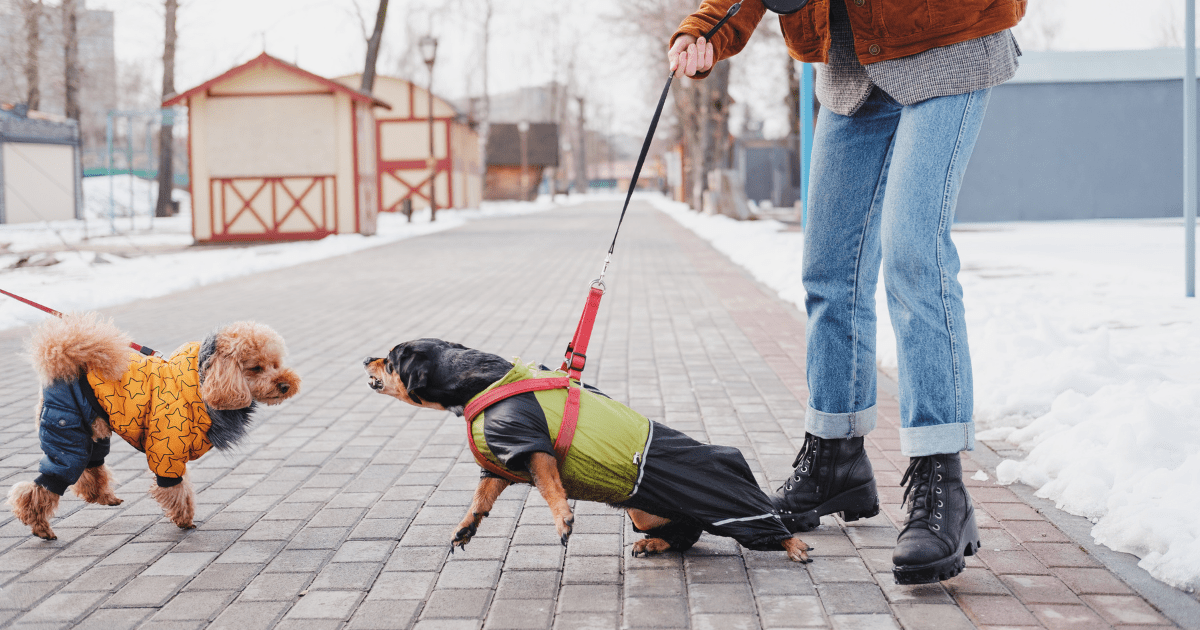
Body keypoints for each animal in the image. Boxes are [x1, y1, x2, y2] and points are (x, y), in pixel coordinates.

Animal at [362, 338, 816, 559]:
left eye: (391, 359)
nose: (366, 358)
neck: (481, 381)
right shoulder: (502, 463)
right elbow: (479, 499)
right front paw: (465, 528)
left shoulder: (532, 447)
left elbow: (550, 488)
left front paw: (563, 520)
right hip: (645, 512)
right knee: (686, 535)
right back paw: (653, 545)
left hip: (733, 508)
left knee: (765, 529)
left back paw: (793, 546)